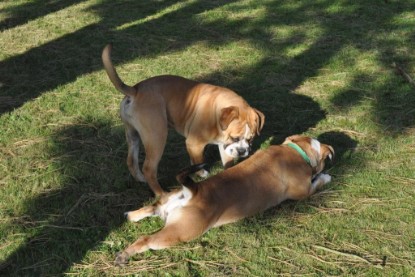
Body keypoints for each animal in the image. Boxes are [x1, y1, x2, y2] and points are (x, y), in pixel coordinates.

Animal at [102, 44, 264, 195]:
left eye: (250, 139)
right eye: (235, 138)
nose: (243, 151)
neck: (217, 112)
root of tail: (135, 90)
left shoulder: (224, 145)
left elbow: (227, 163)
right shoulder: (195, 143)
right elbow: (198, 161)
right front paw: (201, 173)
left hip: (132, 134)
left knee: (131, 160)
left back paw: (141, 179)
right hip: (157, 136)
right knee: (149, 168)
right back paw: (161, 193)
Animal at [114, 135, 334, 264]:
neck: (296, 150)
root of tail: (194, 191)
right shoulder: (304, 191)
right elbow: (316, 183)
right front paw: (325, 177)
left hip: (169, 199)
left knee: (152, 207)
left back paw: (130, 215)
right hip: (180, 232)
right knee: (146, 239)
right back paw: (124, 255)